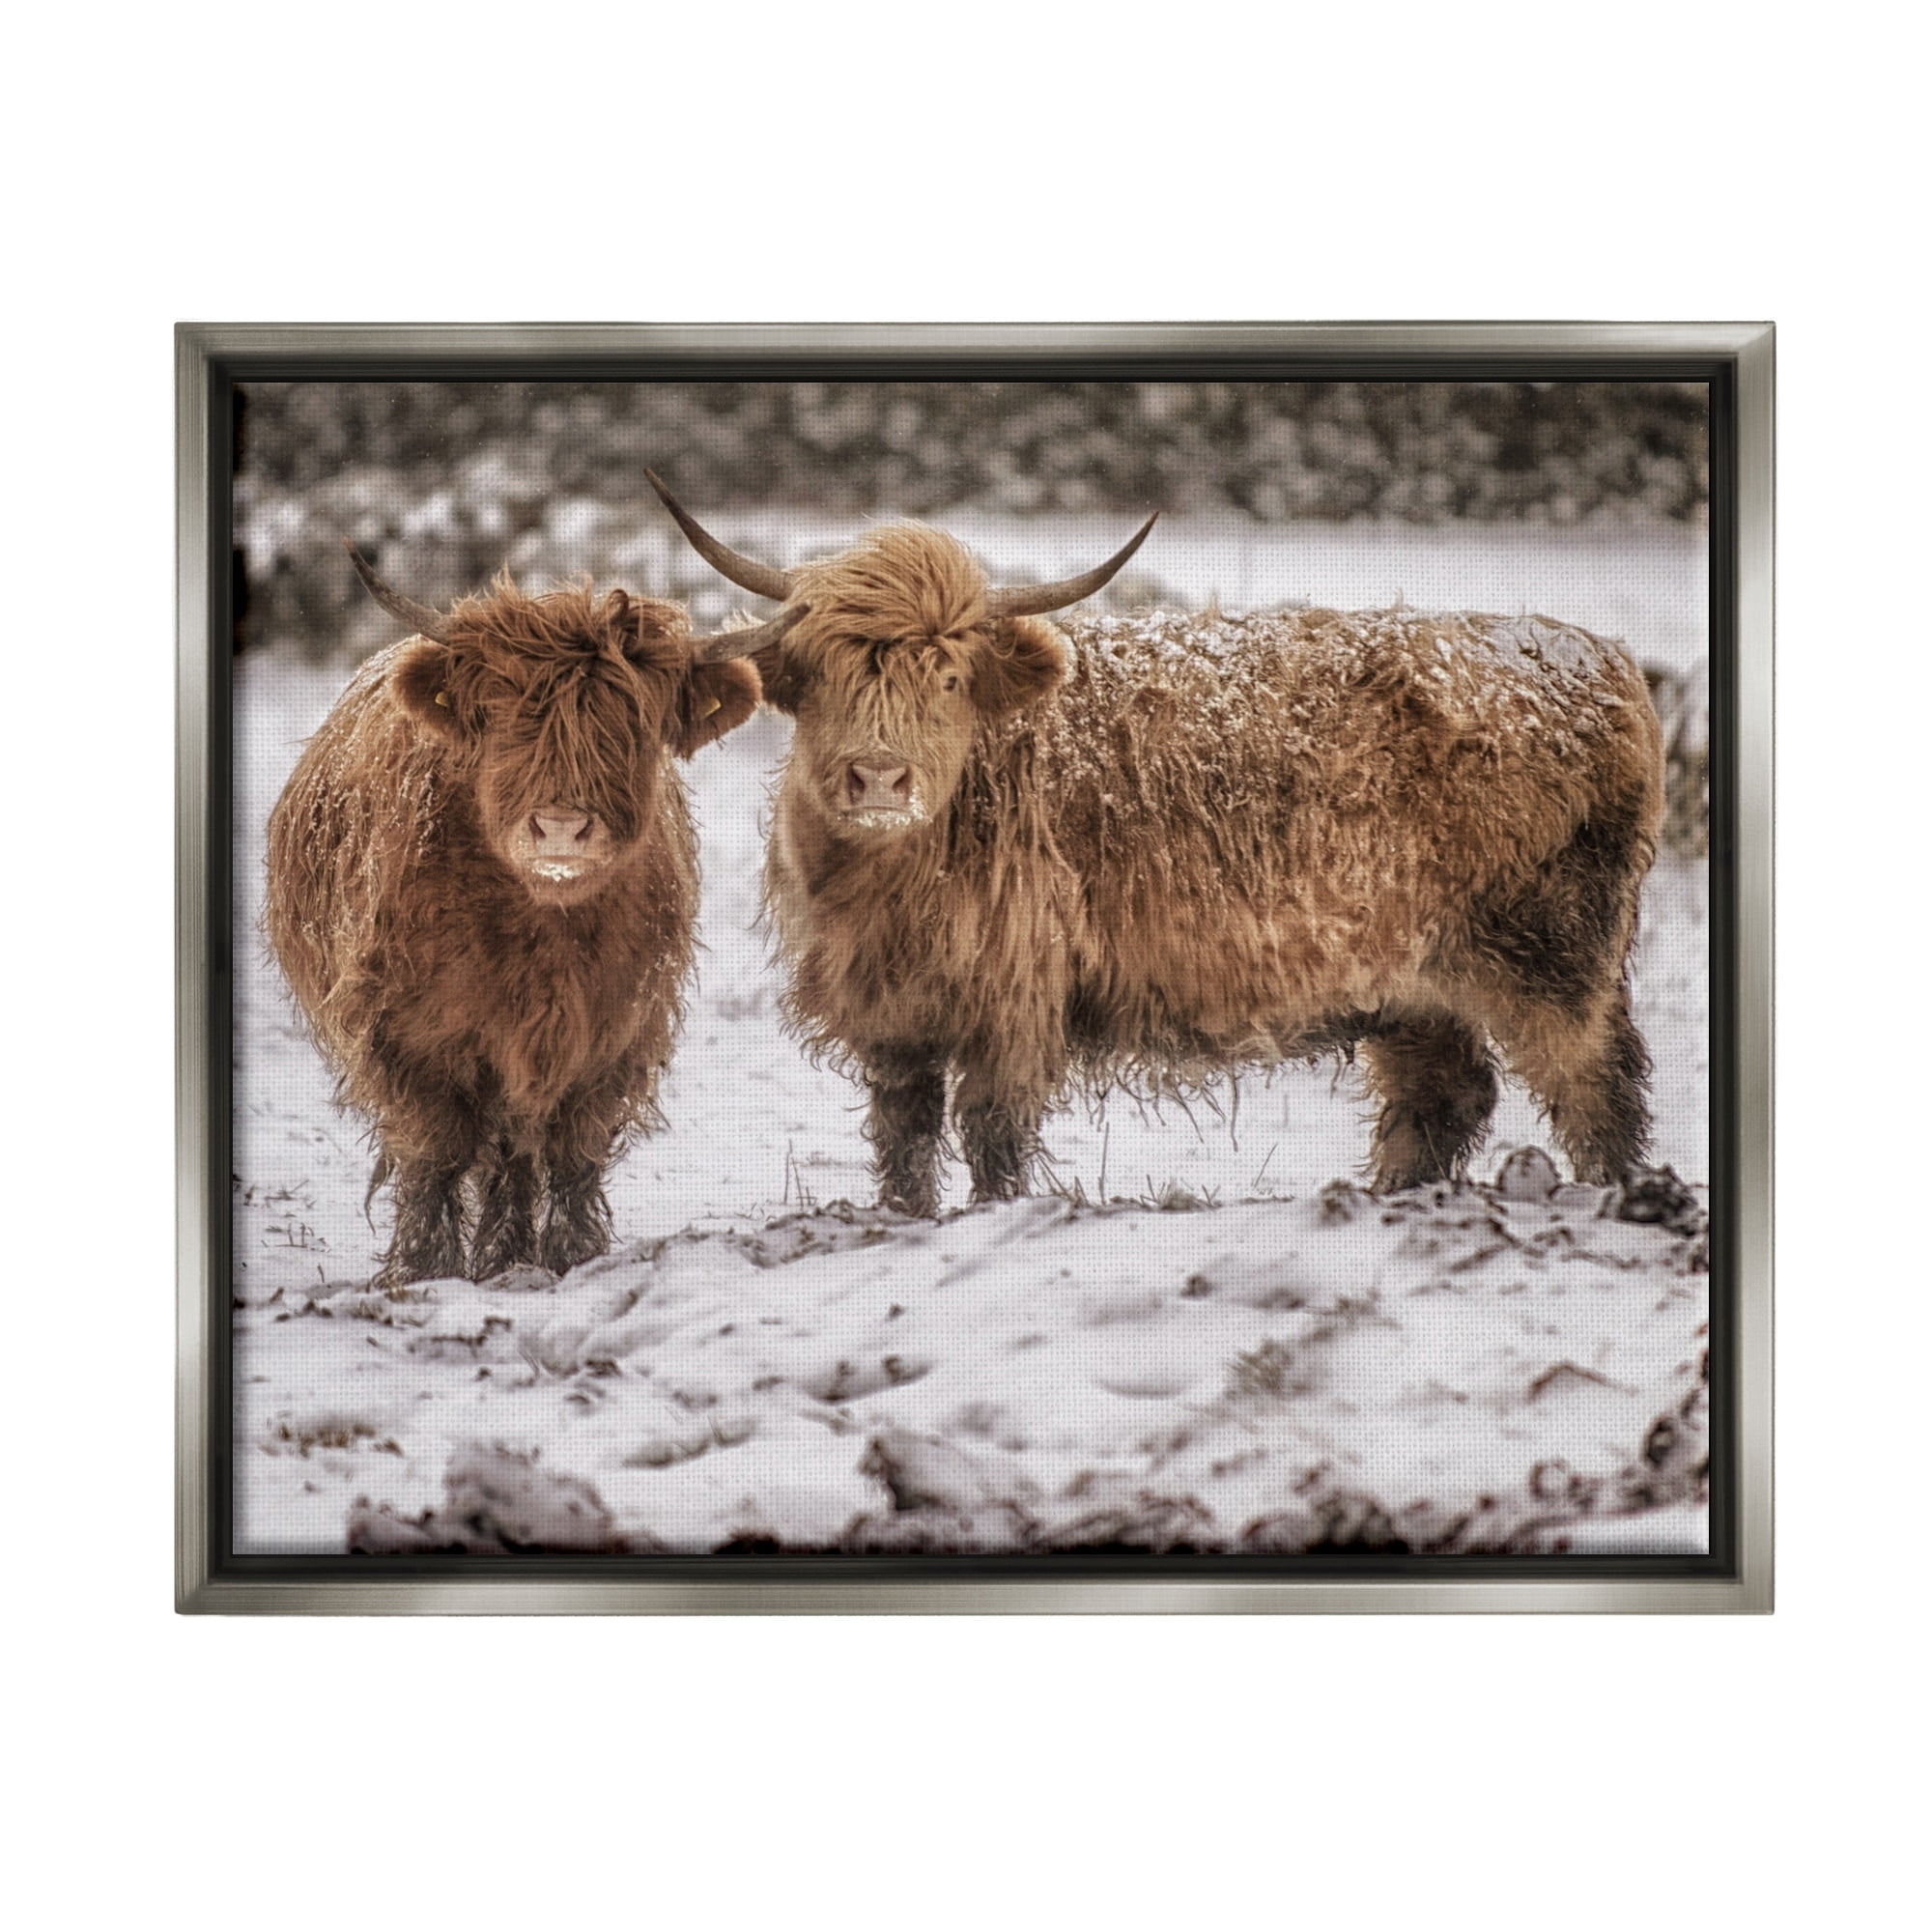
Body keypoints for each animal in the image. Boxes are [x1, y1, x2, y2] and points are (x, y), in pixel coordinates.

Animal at [264, 544, 800, 1287]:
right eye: (504, 719)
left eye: (633, 723)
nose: (561, 828)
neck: (540, 929)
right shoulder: (405, 1033)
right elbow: (435, 1149)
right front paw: (426, 1267)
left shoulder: (617, 1028)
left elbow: (574, 1148)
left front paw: (572, 1255)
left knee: (515, 1147)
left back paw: (509, 1254)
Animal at [646, 474, 1666, 1218]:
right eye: (819, 674)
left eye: (947, 677)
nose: (879, 779)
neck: (890, 887)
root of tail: (1602, 660)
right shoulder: (896, 1010)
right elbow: (903, 1136)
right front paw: (906, 1217)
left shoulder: (1014, 996)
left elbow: (993, 1132)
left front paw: (994, 1214)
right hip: (1414, 980)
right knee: (1443, 1096)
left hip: (1554, 953)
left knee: (1595, 1088)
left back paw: (1615, 1199)